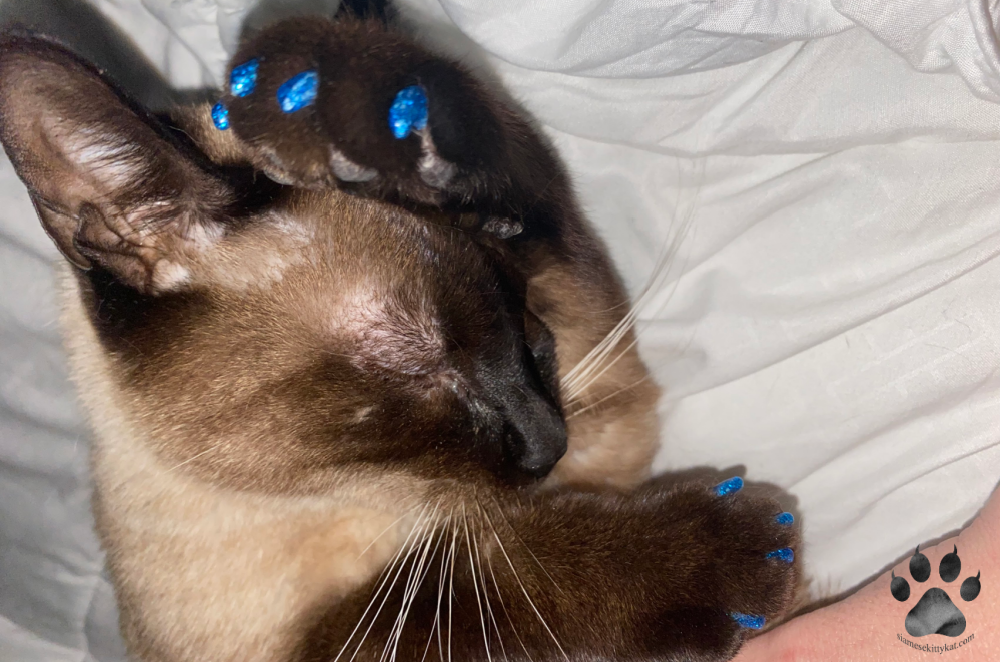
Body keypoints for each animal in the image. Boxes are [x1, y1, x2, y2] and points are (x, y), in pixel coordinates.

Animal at [0, 1, 800, 662]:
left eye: (521, 312)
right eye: (418, 361)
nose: (549, 442)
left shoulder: (607, 403)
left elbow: (529, 178)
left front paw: (340, 93)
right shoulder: (332, 635)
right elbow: (466, 591)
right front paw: (736, 552)